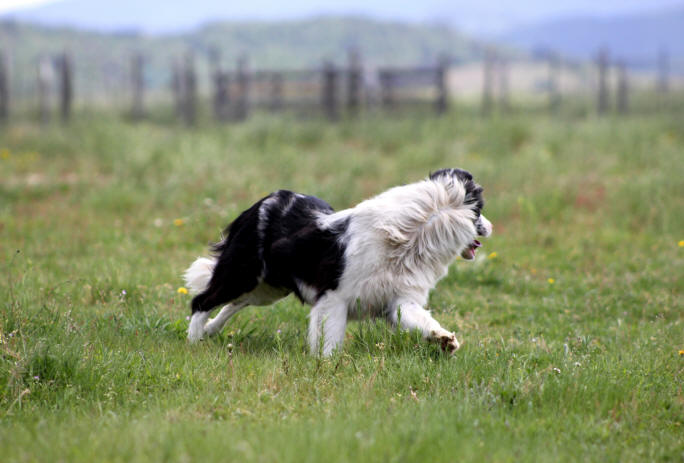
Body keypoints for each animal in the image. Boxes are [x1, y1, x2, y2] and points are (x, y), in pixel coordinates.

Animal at [183, 169, 492, 358]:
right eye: (479, 211)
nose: (491, 228)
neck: (409, 237)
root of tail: (263, 202)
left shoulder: (399, 299)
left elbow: (422, 320)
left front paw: (444, 339)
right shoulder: (334, 297)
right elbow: (330, 338)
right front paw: (327, 364)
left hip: (267, 288)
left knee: (233, 304)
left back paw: (210, 332)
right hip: (243, 273)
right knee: (202, 301)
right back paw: (194, 341)